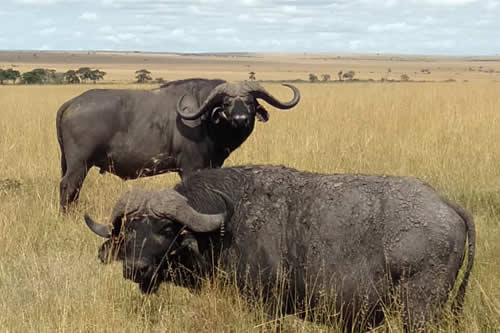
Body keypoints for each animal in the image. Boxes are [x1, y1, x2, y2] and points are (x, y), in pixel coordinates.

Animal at [55, 78, 296, 210]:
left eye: (250, 102)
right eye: (227, 103)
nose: (240, 119)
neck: (206, 120)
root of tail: (72, 103)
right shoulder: (190, 167)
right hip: (79, 164)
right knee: (68, 187)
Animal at [84, 165, 474, 330]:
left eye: (166, 228)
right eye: (128, 230)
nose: (135, 268)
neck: (225, 226)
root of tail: (445, 205)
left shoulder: (265, 307)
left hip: (418, 310)